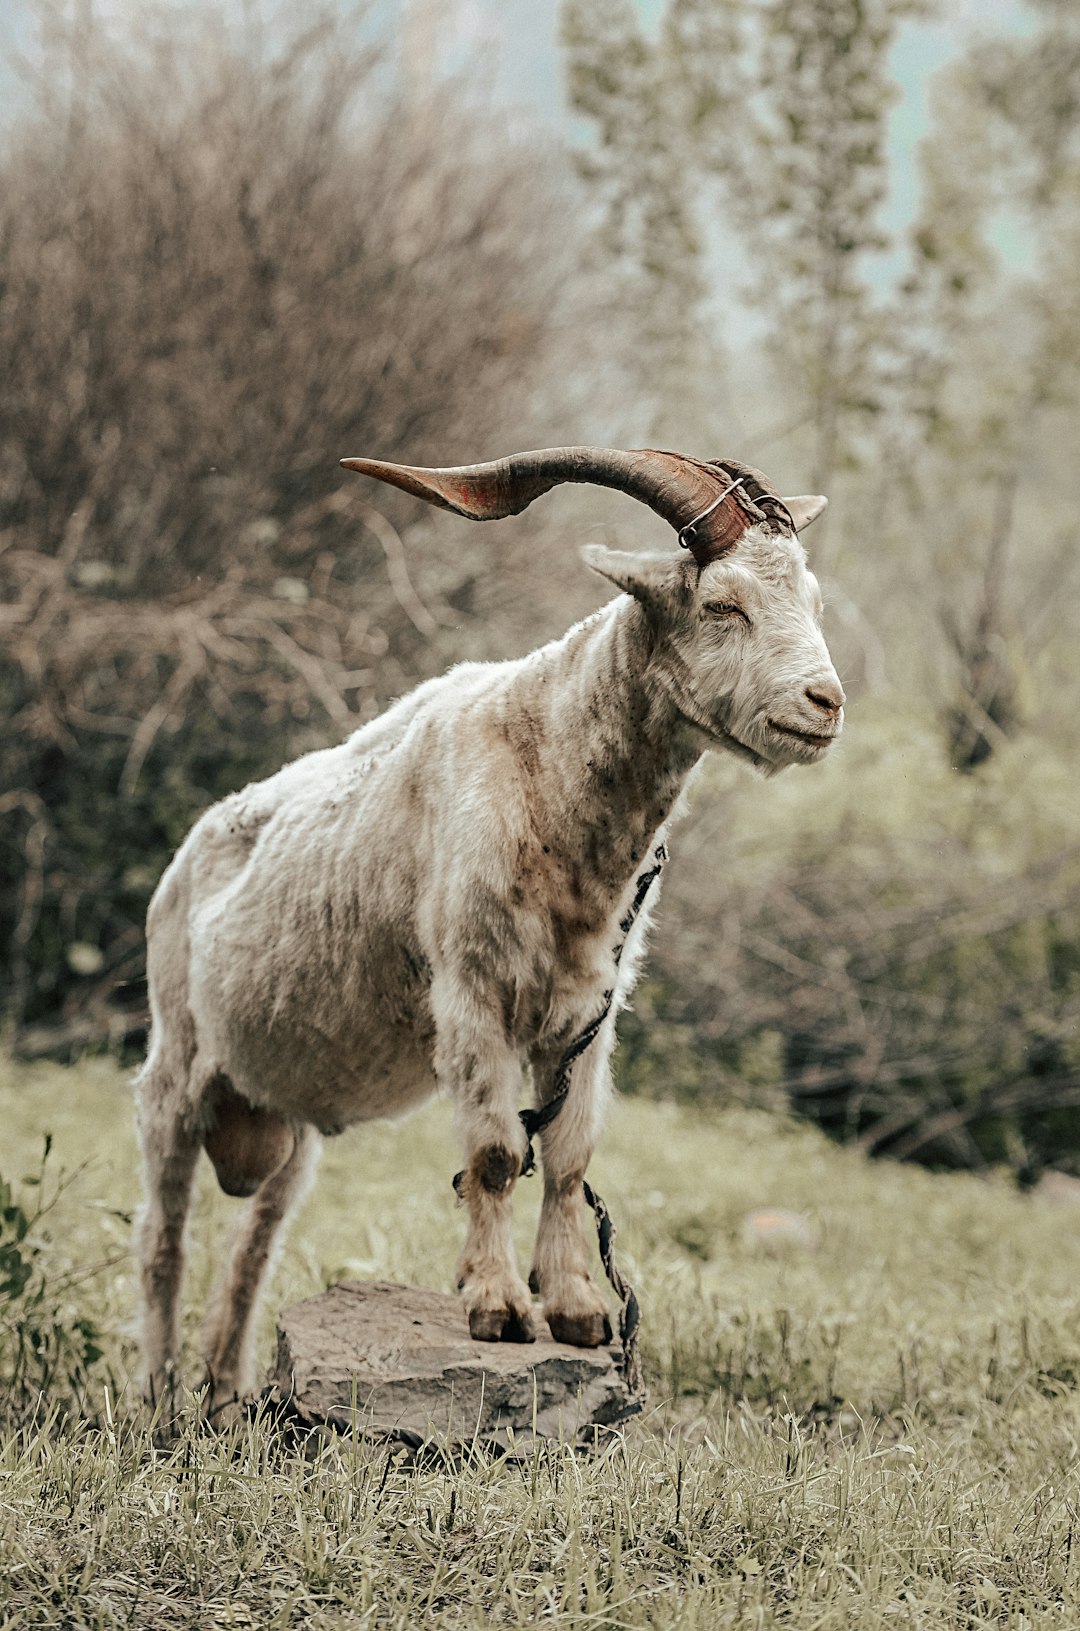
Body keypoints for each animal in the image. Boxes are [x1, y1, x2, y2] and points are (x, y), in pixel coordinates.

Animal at [135, 446, 848, 1415]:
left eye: (810, 598)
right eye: (722, 604)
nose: (826, 702)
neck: (544, 765)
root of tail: (187, 859)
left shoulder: (589, 1013)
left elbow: (571, 1154)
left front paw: (578, 1307)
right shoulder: (472, 991)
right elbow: (500, 1150)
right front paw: (500, 1305)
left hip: (287, 1128)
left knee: (254, 1247)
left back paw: (222, 1392)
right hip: (174, 1066)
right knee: (163, 1235)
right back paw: (158, 1396)